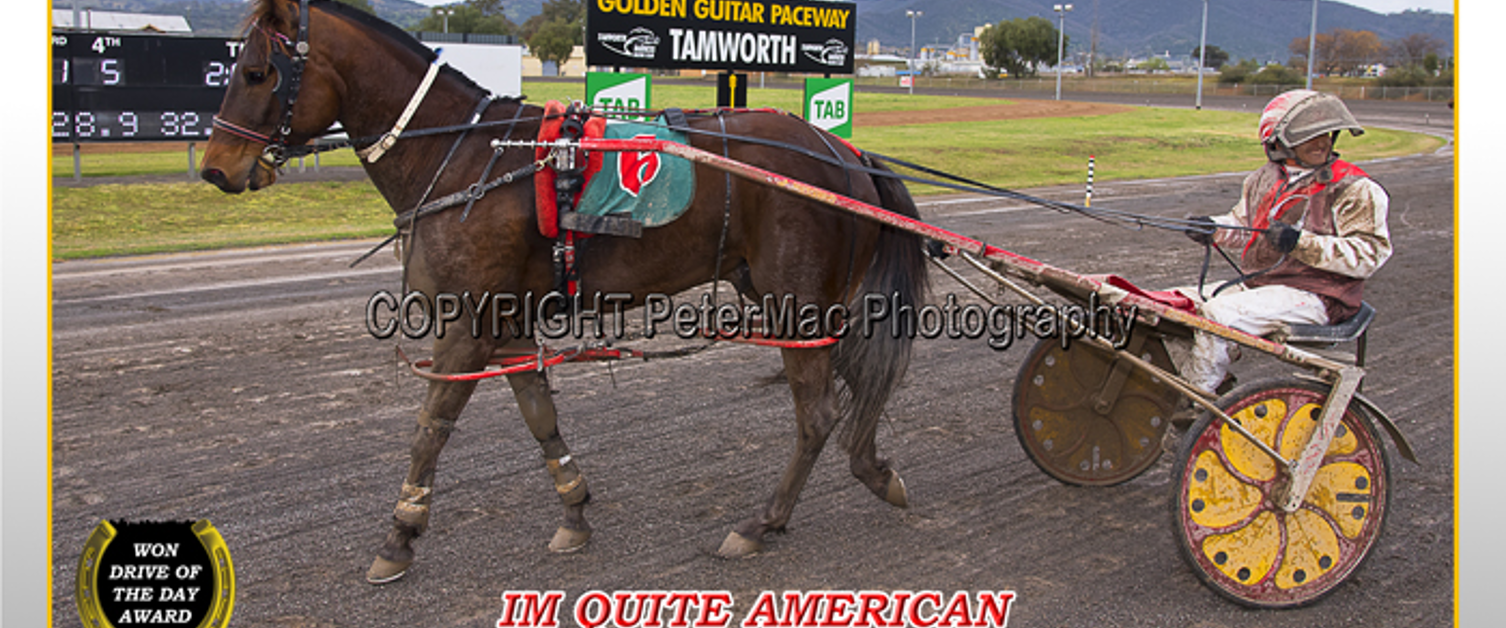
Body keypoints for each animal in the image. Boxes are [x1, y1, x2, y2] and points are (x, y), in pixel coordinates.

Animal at [200, 0, 927, 581]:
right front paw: (574, 510)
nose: (215, 169)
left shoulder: (468, 324)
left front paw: (399, 535)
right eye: (234, 69)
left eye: (257, 72)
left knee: (818, 413)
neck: (469, 157)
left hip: (795, 301)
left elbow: (431, 426)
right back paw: (872, 471)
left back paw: (762, 522)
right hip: (792, 300)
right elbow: (538, 412)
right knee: (852, 386)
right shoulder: (507, 320)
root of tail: (846, 154)